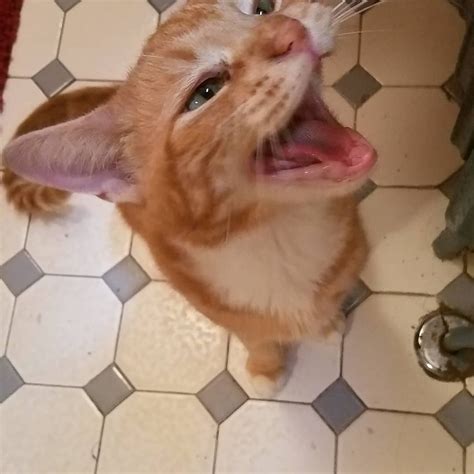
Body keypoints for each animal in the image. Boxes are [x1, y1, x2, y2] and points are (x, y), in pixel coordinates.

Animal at [1, 0, 376, 396]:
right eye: (205, 92)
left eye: (262, 9)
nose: (293, 30)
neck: (277, 238)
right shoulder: (221, 310)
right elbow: (256, 337)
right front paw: (265, 367)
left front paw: (326, 324)